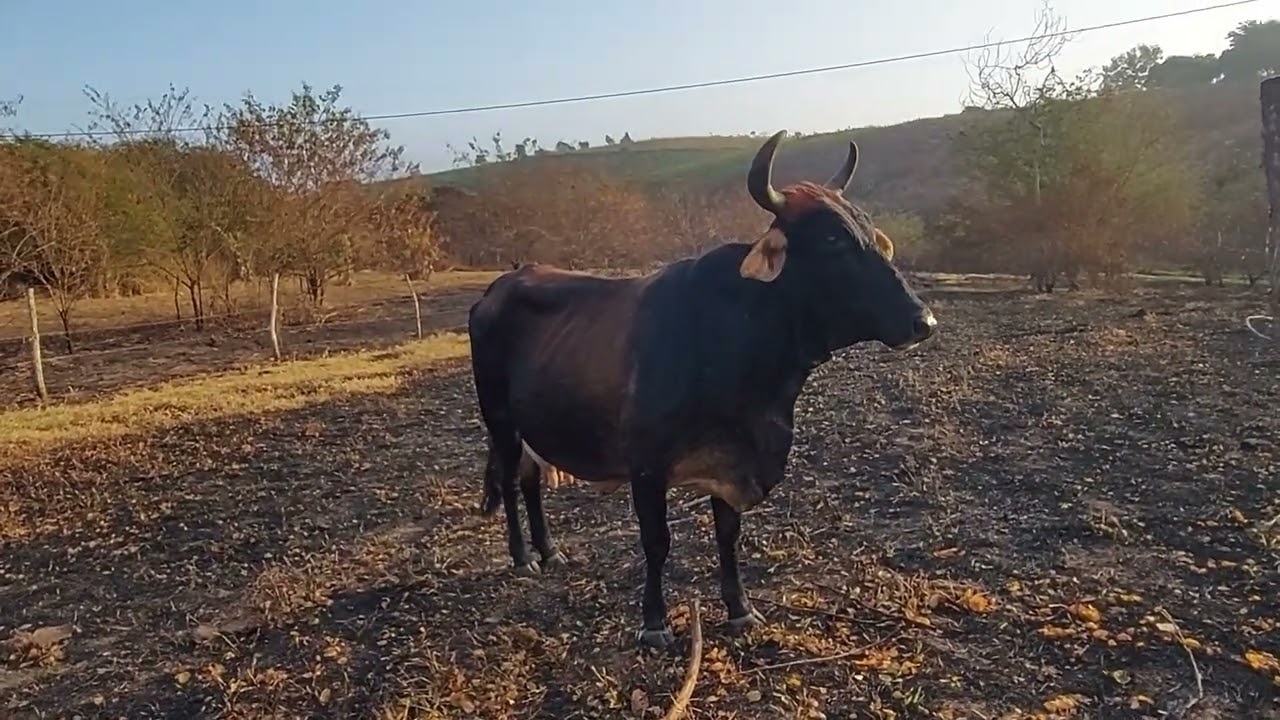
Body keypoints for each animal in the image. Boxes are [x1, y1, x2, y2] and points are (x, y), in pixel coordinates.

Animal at [467, 130, 936, 647]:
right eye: (832, 240)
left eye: (870, 232)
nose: (924, 321)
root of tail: (501, 285)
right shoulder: (646, 466)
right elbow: (656, 541)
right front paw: (653, 623)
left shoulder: (730, 461)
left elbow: (727, 535)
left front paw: (740, 609)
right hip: (500, 421)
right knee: (511, 480)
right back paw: (523, 557)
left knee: (531, 480)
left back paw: (549, 551)